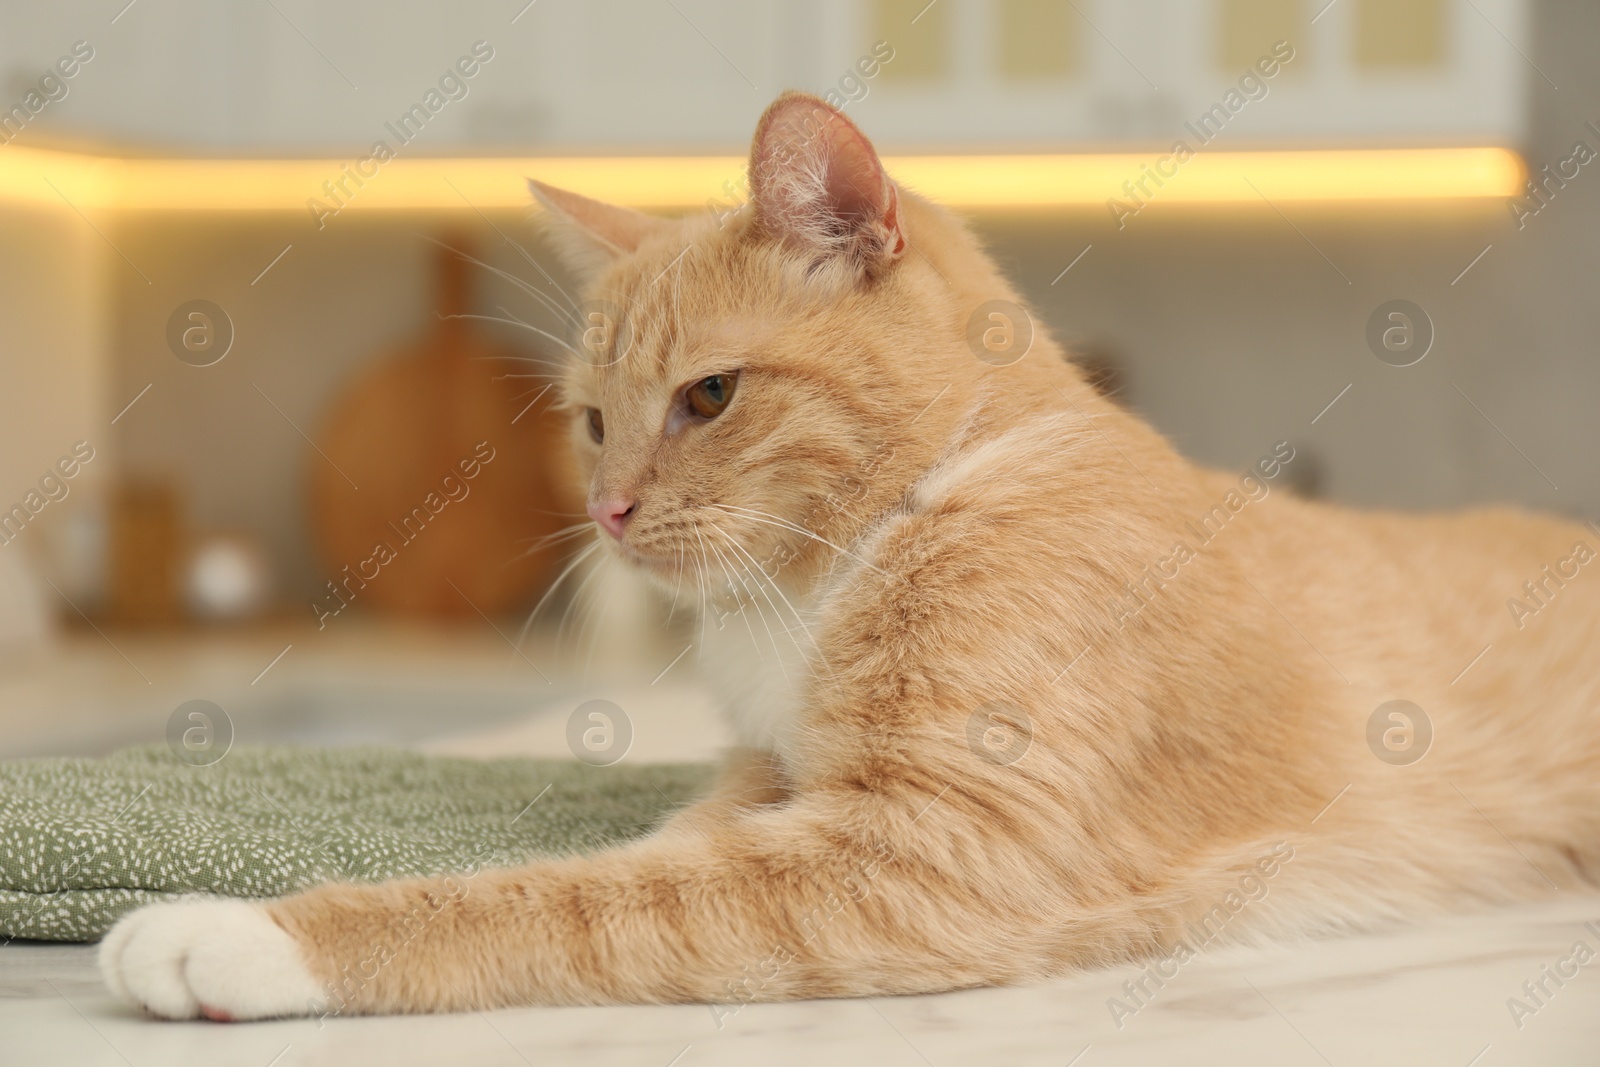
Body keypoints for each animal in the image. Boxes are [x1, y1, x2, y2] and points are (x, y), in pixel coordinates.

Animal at [103, 89, 1600, 1017]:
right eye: (591, 421)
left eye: (708, 396)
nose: (610, 513)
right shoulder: (768, 786)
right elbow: (636, 852)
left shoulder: (924, 850)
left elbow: (562, 902)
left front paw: (242, 931)